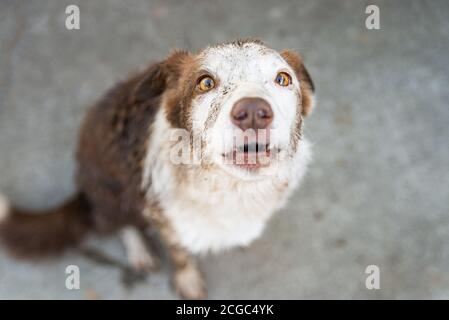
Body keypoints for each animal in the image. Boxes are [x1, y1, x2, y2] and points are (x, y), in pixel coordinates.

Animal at [0, 38, 316, 298]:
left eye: (282, 78)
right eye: (205, 83)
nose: (252, 112)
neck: (228, 187)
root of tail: (82, 184)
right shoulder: (162, 217)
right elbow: (179, 254)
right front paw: (188, 280)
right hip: (114, 195)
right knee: (118, 224)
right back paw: (139, 250)